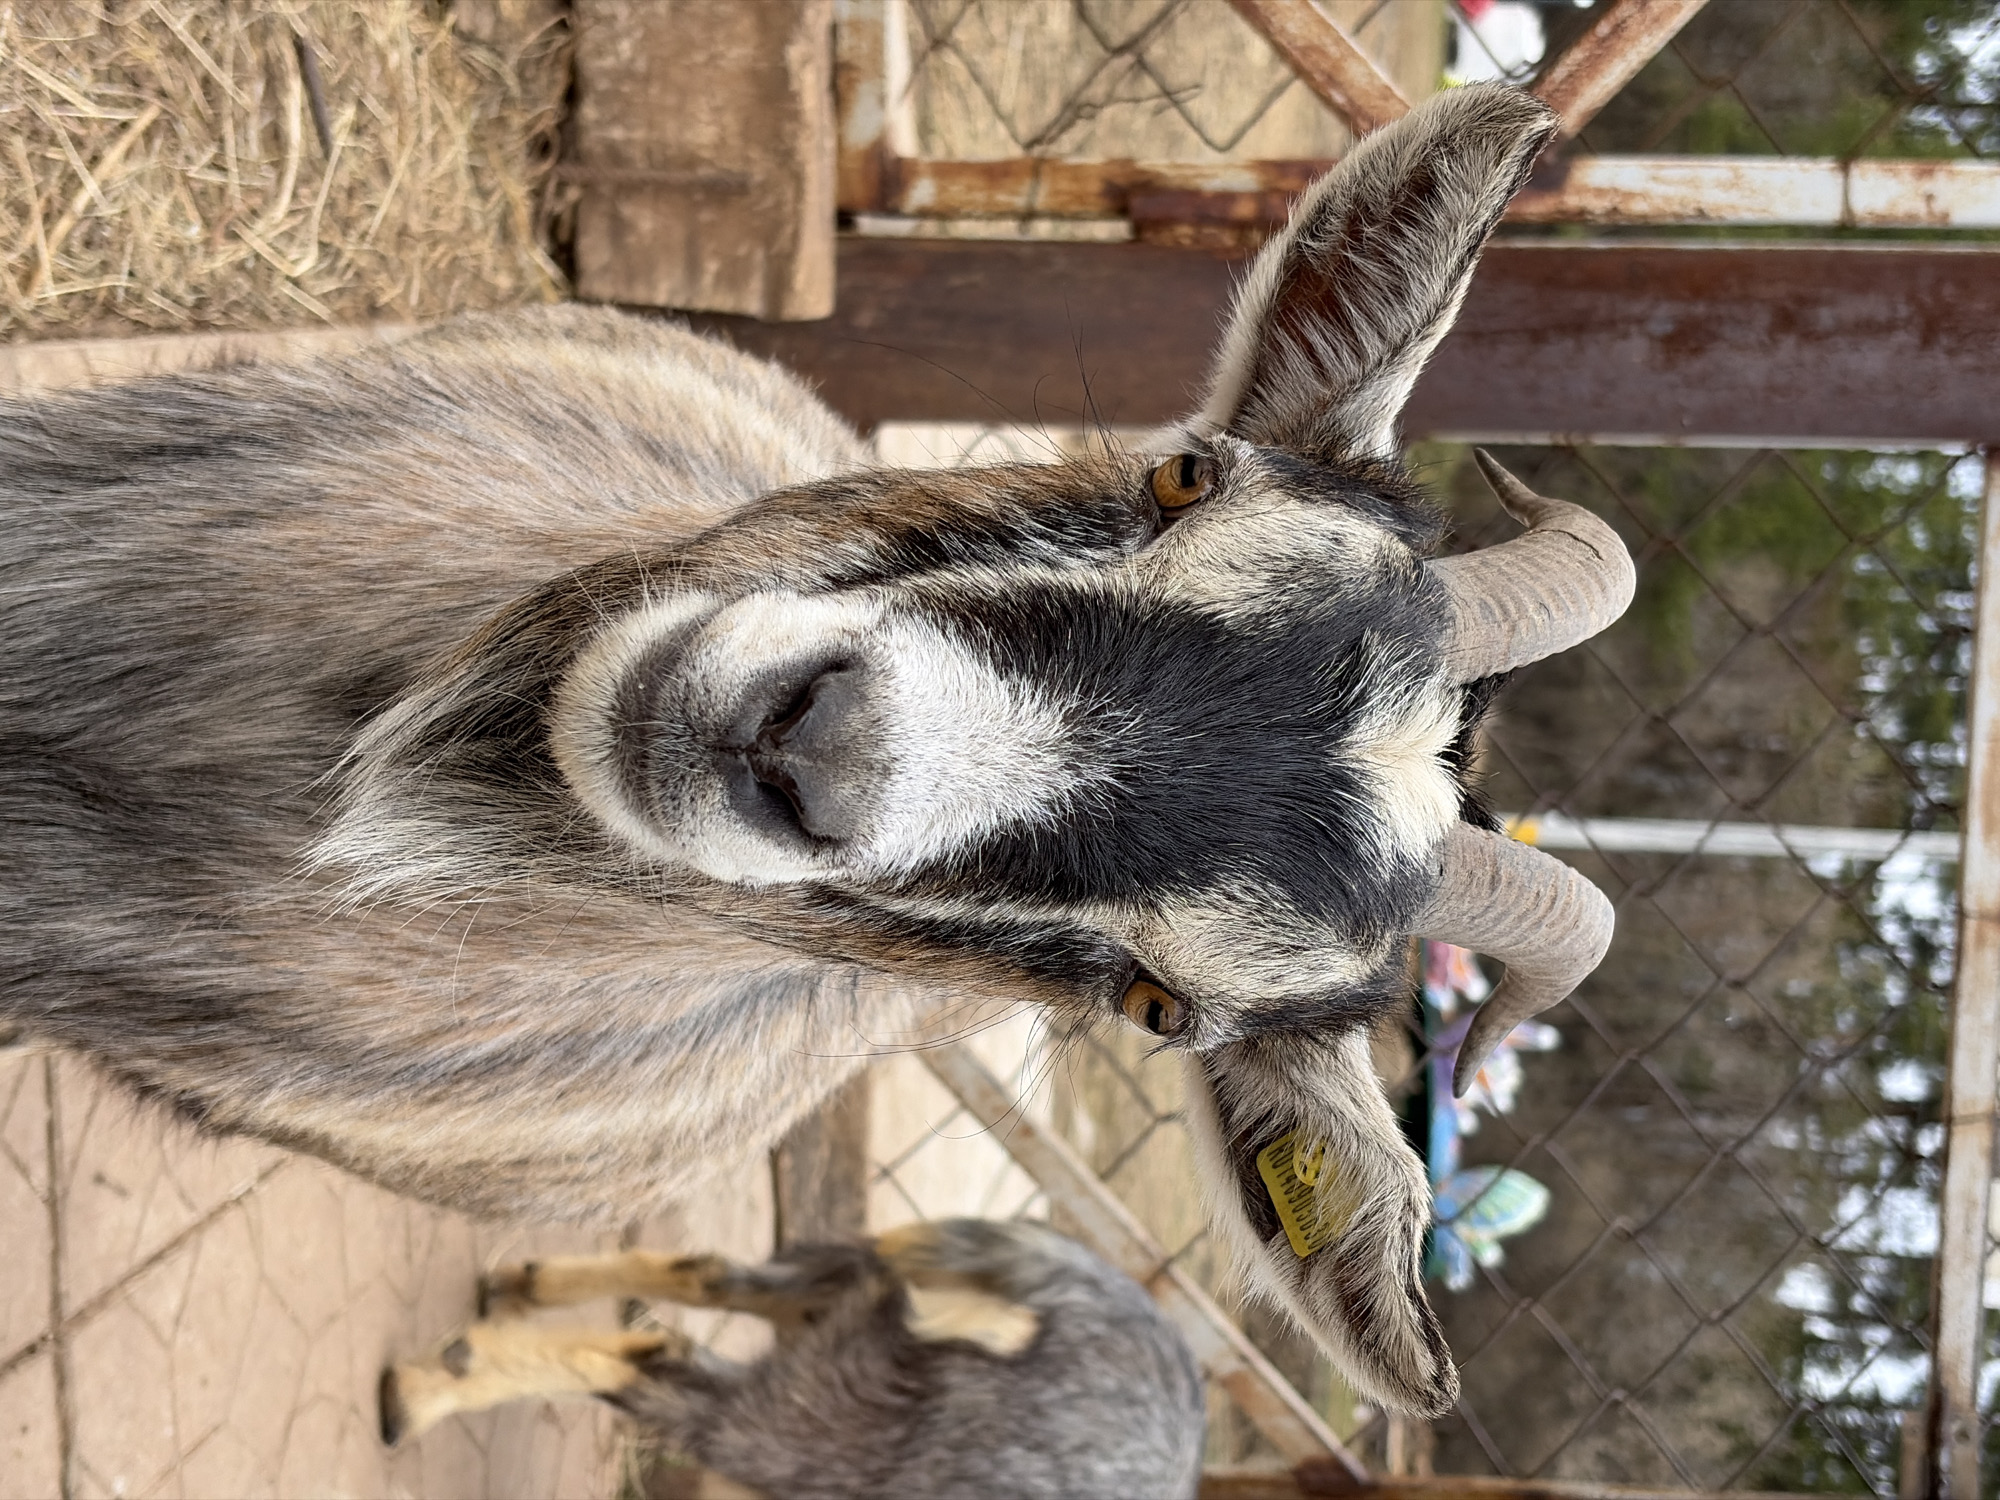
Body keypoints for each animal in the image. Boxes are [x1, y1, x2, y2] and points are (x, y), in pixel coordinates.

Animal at [378, 1218, 1207, 1500]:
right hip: (818, 1437)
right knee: (628, 1370)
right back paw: (419, 1393)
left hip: (837, 1306)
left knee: (699, 1288)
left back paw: (525, 1286)